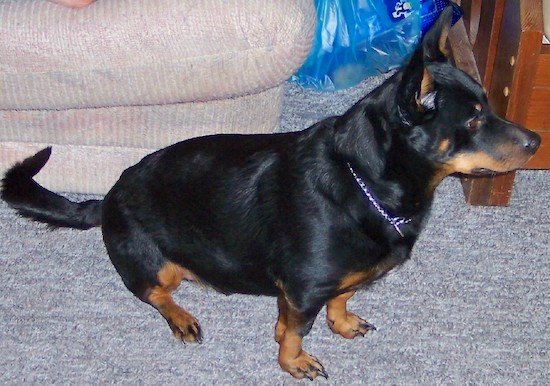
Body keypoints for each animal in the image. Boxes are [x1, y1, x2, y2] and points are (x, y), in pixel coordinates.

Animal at [1, 7, 544, 382]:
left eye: (489, 105)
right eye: (472, 120)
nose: (538, 141)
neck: (365, 183)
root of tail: (106, 197)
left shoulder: (331, 284)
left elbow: (341, 297)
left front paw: (341, 323)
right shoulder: (301, 289)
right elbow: (295, 333)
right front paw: (294, 361)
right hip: (148, 260)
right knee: (156, 294)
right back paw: (182, 318)